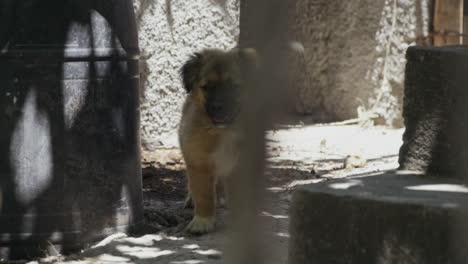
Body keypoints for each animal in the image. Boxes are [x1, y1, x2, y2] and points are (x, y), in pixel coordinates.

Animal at [178, 47, 256, 233]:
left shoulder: (242, 166)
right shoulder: (198, 161)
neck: (223, 132)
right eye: (207, 87)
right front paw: (202, 221)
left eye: (234, 87)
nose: (218, 107)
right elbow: (203, 194)